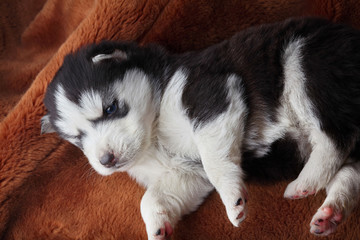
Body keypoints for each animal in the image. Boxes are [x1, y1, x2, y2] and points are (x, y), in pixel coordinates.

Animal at [40, 17, 358, 239]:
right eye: (78, 138)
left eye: (110, 108)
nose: (107, 160)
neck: (154, 133)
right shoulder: (188, 174)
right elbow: (151, 197)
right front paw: (157, 226)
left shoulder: (211, 97)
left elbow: (215, 163)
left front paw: (232, 199)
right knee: (350, 170)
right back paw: (330, 213)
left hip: (306, 64)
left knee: (334, 139)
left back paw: (304, 183)